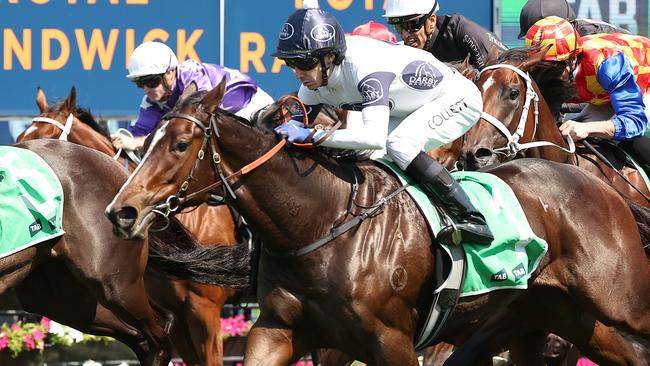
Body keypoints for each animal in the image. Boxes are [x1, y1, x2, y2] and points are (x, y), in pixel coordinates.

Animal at [105, 81, 648, 366]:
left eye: (180, 145)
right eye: (147, 140)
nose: (121, 212)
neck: (318, 224)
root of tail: (596, 184)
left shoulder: (392, 342)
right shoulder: (279, 331)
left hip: (619, 307)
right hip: (553, 320)